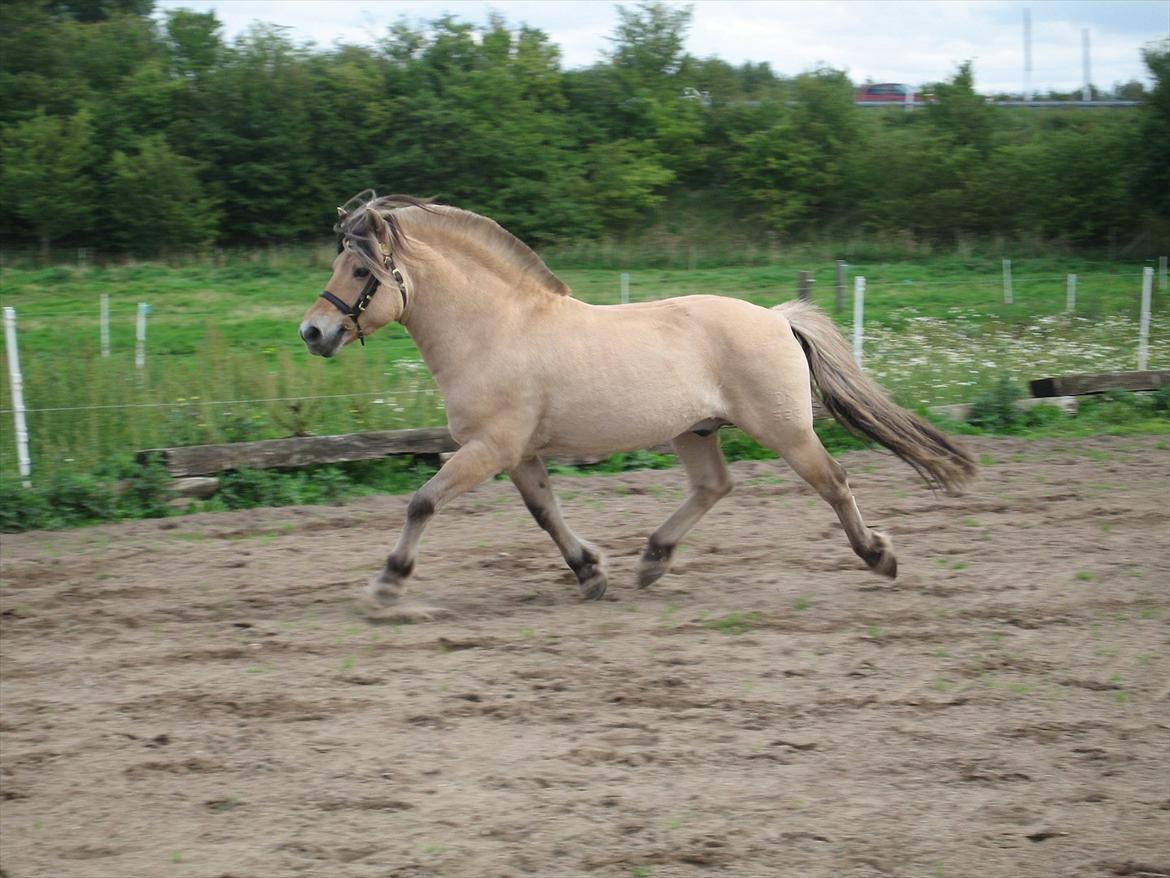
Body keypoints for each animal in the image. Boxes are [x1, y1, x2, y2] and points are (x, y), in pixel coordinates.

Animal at [297, 190, 973, 613]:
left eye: (360, 272)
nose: (312, 332)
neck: (495, 330)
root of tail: (777, 318)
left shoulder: (490, 448)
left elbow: (423, 502)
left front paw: (387, 585)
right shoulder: (518, 454)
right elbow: (546, 513)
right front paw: (591, 573)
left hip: (785, 431)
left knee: (832, 482)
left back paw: (878, 557)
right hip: (695, 430)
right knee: (714, 486)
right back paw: (651, 561)